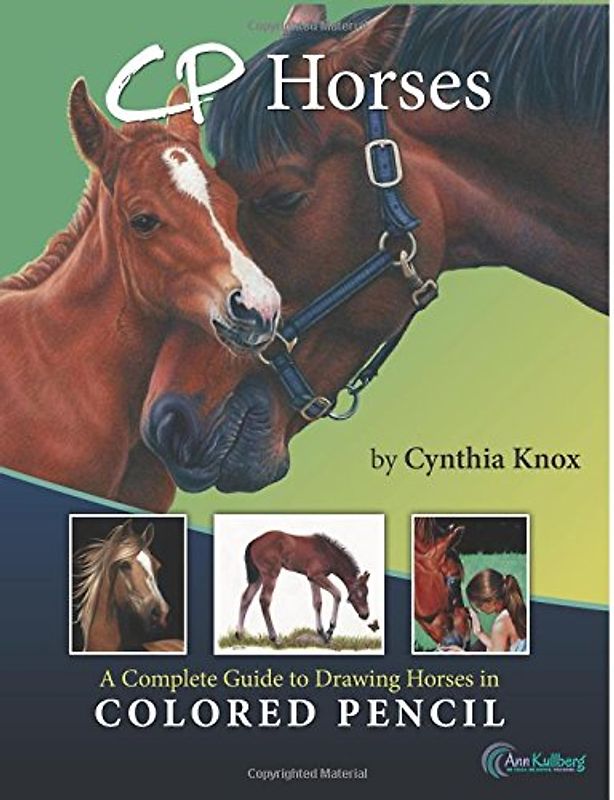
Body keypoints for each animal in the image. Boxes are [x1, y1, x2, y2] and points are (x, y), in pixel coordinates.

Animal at [236, 531, 371, 643]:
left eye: (367, 593)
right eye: (360, 594)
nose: (366, 615)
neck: (327, 551)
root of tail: (253, 542)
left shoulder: (313, 578)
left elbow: (317, 603)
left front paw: (322, 633)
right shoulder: (317, 575)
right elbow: (337, 594)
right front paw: (329, 631)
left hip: (258, 576)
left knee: (246, 598)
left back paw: (239, 634)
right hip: (270, 574)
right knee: (264, 600)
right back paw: (274, 638)